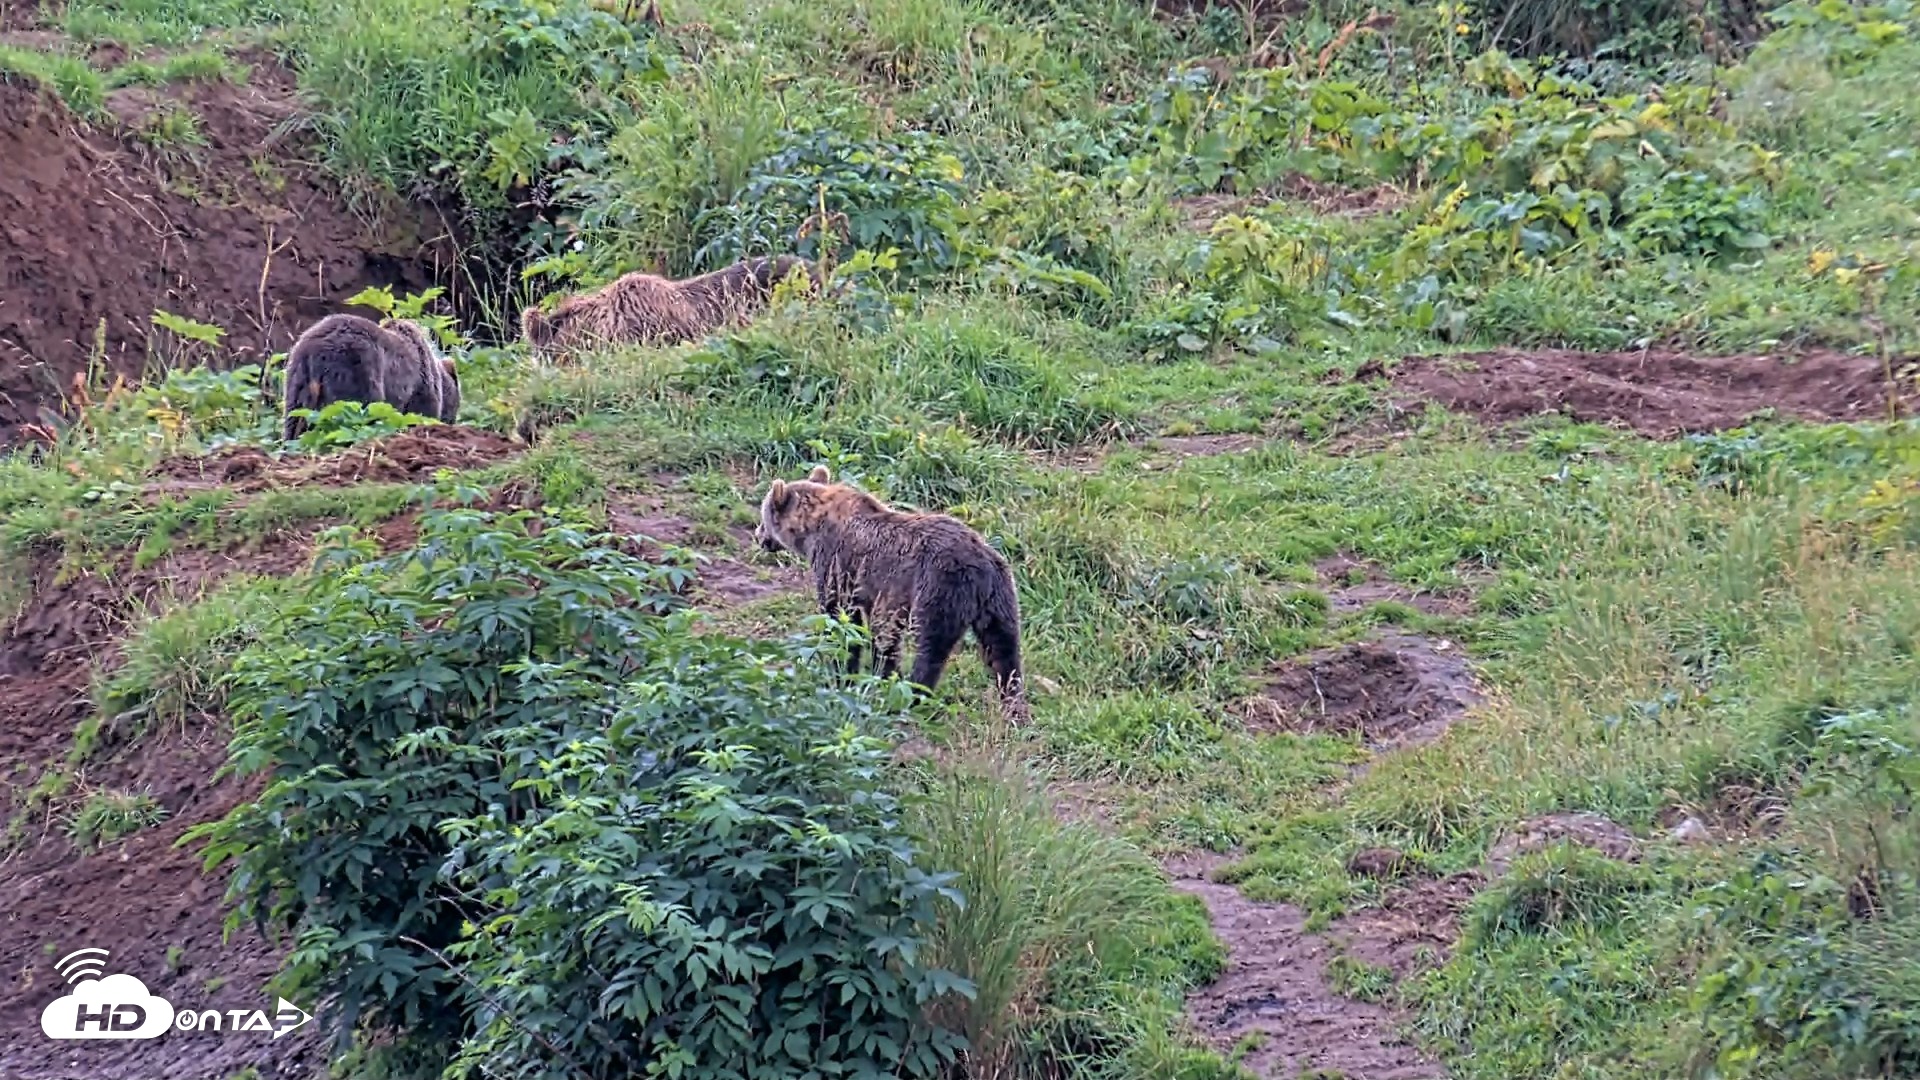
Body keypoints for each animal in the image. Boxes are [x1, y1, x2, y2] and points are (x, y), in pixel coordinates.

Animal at [281, 313, 460, 440]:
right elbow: (420, 414)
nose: (452, 422)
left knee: (293, 423)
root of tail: (312, 352)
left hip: (296, 380)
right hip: (355, 368)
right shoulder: (420, 384)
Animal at [754, 465, 1029, 722]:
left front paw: (842, 674)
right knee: (1004, 651)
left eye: (763, 515)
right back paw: (1013, 704)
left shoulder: (839, 566)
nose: (759, 536)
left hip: (938, 589)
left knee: (931, 648)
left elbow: (842, 622)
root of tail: (979, 564)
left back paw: (912, 697)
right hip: (1001, 596)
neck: (812, 528)